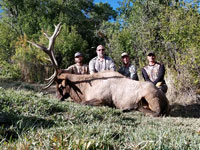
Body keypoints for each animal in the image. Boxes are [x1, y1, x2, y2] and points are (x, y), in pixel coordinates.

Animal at [28, 23, 169, 117]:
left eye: (60, 86)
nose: (56, 98)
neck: (84, 89)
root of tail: (166, 102)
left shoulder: (102, 99)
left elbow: (84, 103)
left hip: (150, 96)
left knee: (156, 112)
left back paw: (129, 108)